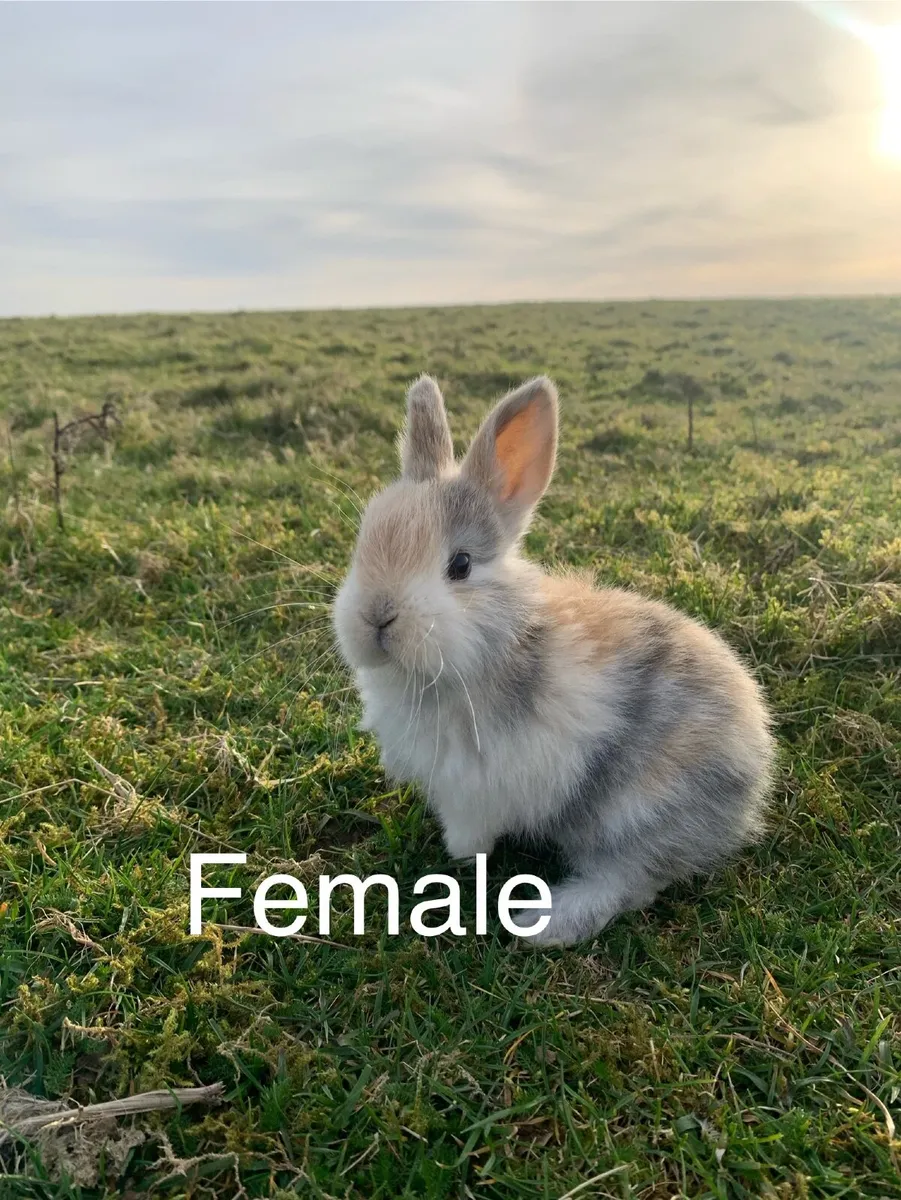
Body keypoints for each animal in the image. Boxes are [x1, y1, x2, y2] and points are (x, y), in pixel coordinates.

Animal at [333, 374, 776, 946]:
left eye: (460, 565)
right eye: (364, 540)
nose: (377, 617)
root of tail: (756, 770)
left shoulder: (474, 788)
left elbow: (471, 831)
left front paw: (459, 855)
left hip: (638, 812)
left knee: (630, 881)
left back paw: (540, 924)